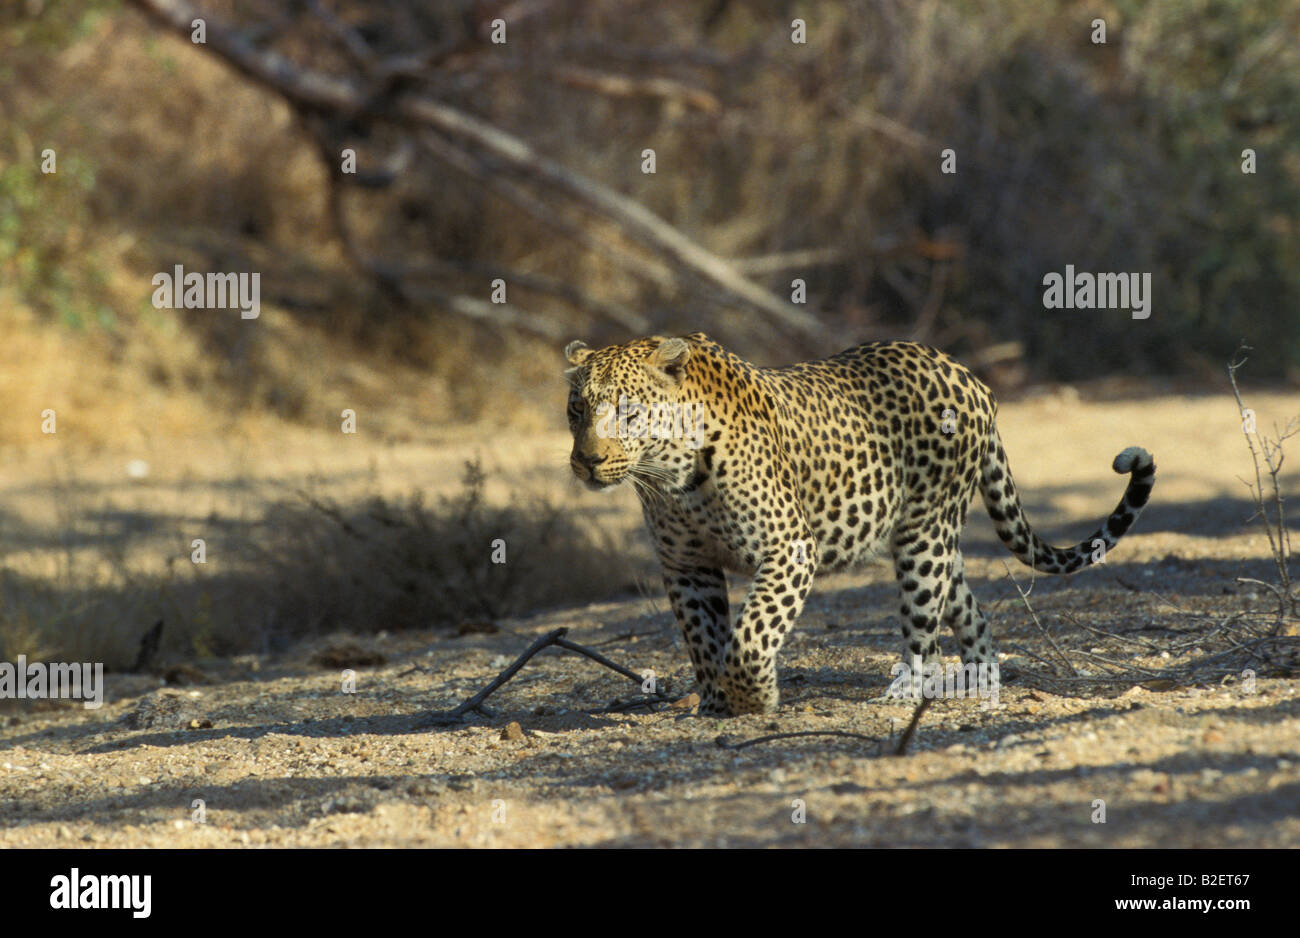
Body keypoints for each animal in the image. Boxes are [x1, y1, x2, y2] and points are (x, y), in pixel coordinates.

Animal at [564, 333, 1155, 717]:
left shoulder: (789, 548)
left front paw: (753, 697)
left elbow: (752, 636)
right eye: (576, 411)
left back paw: (906, 693)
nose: (587, 461)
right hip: (936, 542)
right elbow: (704, 637)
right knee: (970, 611)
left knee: (923, 634)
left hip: (923, 540)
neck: (673, 476)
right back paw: (977, 684)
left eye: (628, 411)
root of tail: (970, 376)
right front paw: (715, 699)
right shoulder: (688, 565)